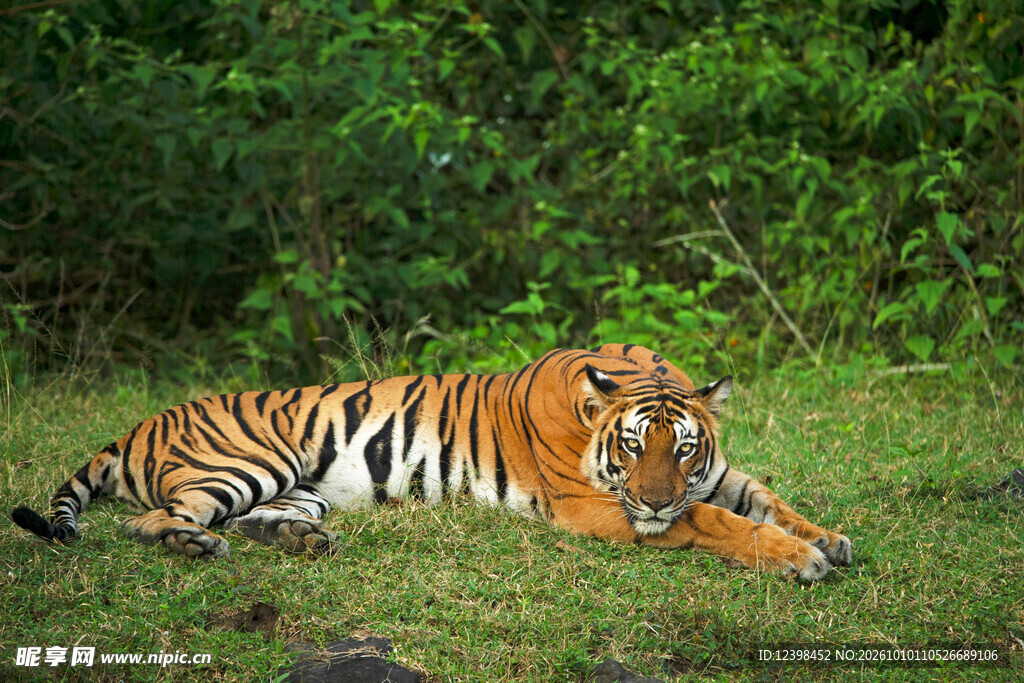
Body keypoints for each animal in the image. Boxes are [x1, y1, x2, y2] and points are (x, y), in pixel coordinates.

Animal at [11, 344, 851, 580]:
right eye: (632, 446)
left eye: (682, 448)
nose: (652, 500)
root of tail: (137, 424)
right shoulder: (598, 508)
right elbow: (715, 520)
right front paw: (802, 559)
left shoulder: (710, 476)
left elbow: (760, 495)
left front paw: (829, 537)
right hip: (249, 459)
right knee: (152, 519)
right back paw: (194, 542)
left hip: (301, 488)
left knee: (263, 519)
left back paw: (301, 542)